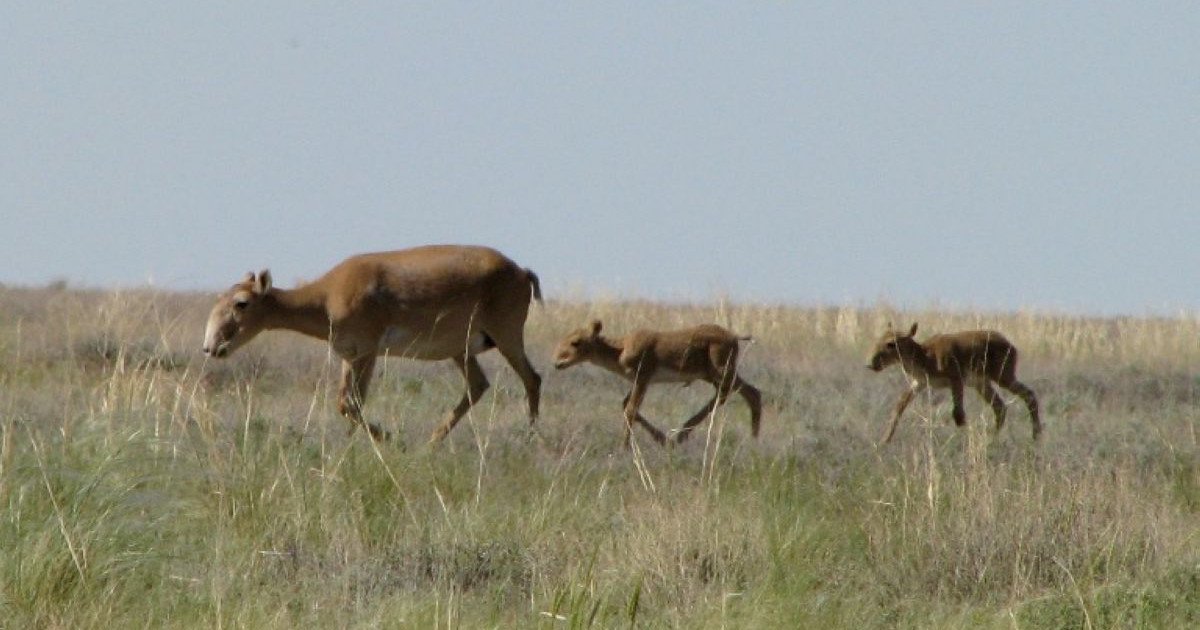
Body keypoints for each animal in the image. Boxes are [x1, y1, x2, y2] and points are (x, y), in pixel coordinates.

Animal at [202, 244, 544, 441]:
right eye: (218, 299)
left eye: (241, 302)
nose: (211, 347)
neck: (326, 296)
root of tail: (521, 271)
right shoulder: (349, 356)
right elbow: (349, 403)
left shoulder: (366, 352)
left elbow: (349, 403)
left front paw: (389, 437)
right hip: (460, 350)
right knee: (478, 385)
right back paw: (431, 444)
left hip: (507, 336)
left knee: (532, 378)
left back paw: (530, 437)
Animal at [549, 319, 758, 446]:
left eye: (576, 342)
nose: (557, 363)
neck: (619, 349)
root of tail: (734, 336)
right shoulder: (637, 382)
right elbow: (625, 404)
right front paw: (663, 439)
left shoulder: (643, 379)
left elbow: (630, 409)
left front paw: (624, 447)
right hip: (711, 375)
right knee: (732, 393)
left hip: (722, 371)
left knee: (749, 392)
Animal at [864, 324, 1041, 441]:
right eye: (879, 339)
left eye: (891, 343)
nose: (871, 364)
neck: (925, 356)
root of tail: (1012, 347)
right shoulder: (918, 384)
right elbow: (898, 407)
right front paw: (884, 441)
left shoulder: (956, 379)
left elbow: (958, 415)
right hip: (981, 384)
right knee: (1000, 407)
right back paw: (992, 437)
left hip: (1003, 377)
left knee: (1029, 395)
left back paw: (1036, 435)